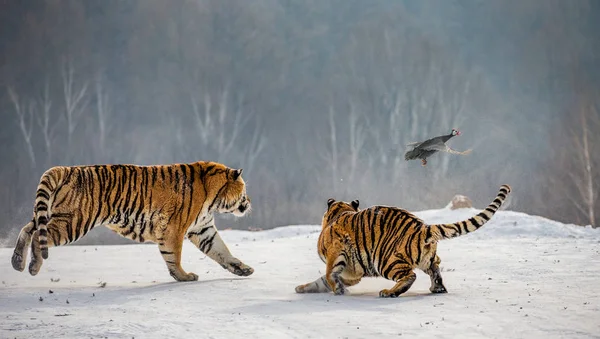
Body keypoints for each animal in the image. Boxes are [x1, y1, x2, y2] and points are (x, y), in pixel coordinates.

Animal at [11, 161, 254, 282]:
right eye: (244, 189)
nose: (249, 202)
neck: (213, 198)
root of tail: (63, 169)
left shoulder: (203, 229)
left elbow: (221, 251)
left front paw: (242, 269)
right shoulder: (173, 228)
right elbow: (173, 255)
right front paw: (183, 276)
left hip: (47, 214)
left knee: (26, 229)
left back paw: (17, 262)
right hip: (73, 222)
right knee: (38, 238)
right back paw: (33, 267)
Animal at [296, 185, 510, 298]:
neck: (340, 212)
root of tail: (423, 227)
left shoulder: (338, 258)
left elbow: (328, 275)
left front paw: (337, 290)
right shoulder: (353, 271)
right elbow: (322, 279)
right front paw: (302, 288)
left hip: (385, 260)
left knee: (409, 275)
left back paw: (388, 292)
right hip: (428, 258)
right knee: (435, 268)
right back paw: (438, 288)